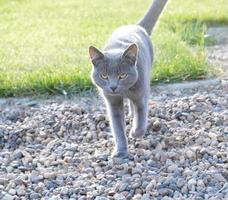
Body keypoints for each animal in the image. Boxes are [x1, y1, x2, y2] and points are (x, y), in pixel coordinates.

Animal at [88, 0, 167, 159]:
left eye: (122, 75)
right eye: (104, 76)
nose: (113, 87)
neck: (123, 92)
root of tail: (135, 26)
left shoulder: (141, 93)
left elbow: (141, 115)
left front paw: (135, 133)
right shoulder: (112, 102)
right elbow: (117, 127)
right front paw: (120, 151)